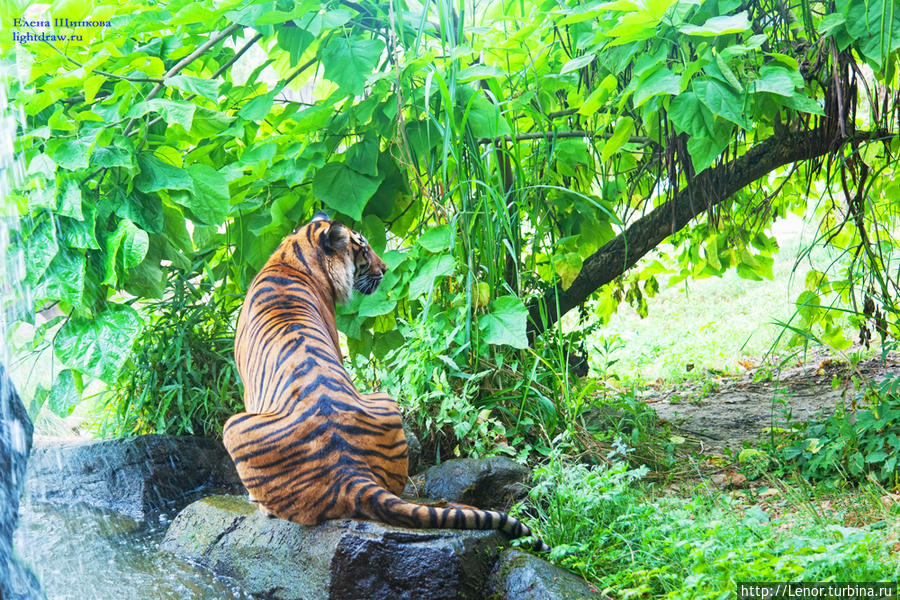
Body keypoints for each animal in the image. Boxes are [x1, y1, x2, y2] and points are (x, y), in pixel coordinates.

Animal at [223, 212, 548, 552]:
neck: (293, 255)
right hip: (384, 401)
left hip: (233, 425)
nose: (385, 269)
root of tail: (349, 470)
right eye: (363, 250)